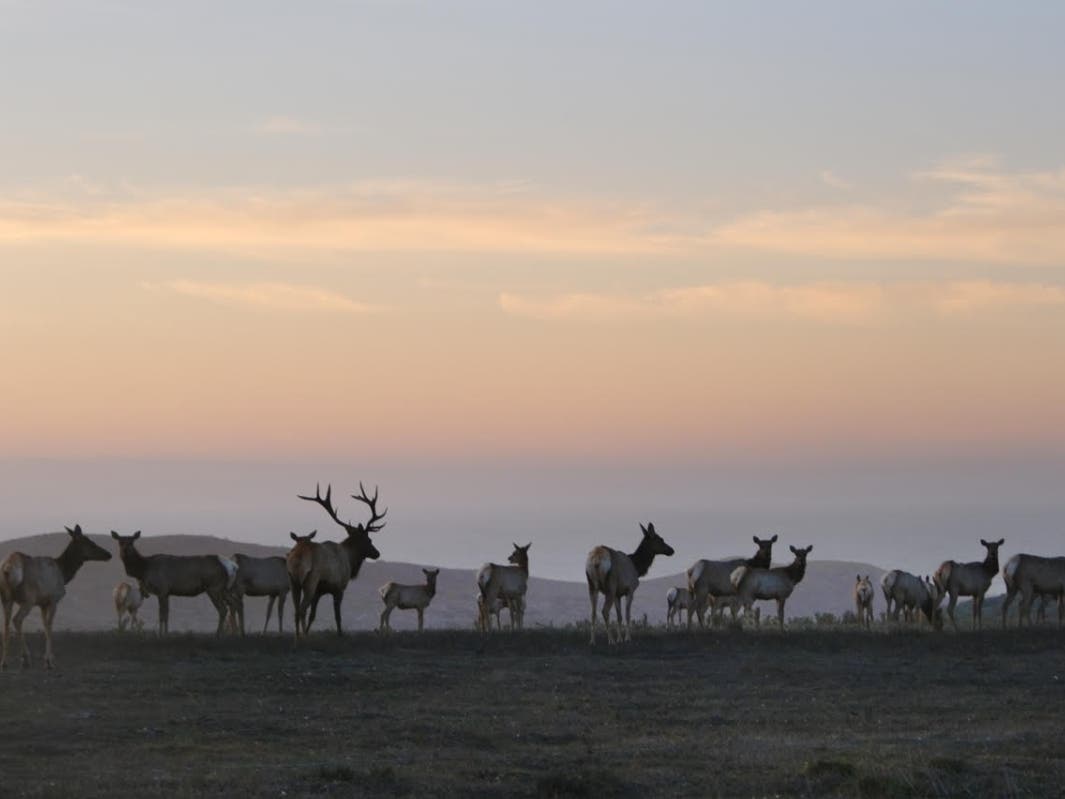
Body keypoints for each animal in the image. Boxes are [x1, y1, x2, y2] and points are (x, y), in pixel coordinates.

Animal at [1, 524, 112, 670]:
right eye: (89, 542)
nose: (108, 554)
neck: (64, 574)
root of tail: (8, 567)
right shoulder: (54, 599)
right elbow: (49, 625)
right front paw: (49, 661)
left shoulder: (42, 603)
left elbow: (44, 625)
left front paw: (47, 658)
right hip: (28, 598)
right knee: (17, 619)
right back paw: (26, 658)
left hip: (6, 598)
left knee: (6, 623)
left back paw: (4, 662)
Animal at [110, 531, 238, 636]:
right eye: (120, 541)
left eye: (132, 542)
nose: (125, 551)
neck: (144, 569)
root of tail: (232, 566)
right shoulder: (167, 592)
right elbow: (166, 614)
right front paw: (165, 633)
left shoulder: (162, 589)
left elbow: (162, 614)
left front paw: (161, 634)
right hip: (224, 588)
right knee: (233, 604)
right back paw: (234, 634)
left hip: (214, 587)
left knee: (223, 609)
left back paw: (218, 635)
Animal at [289, 482, 386, 637]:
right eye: (369, 540)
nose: (377, 553)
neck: (350, 560)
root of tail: (299, 557)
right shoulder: (339, 587)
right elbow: (337, 616)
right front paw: (340, 634)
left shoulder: (319, 592)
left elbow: (313, 616)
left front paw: (308, 632)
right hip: (311, 581)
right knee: (302, 610)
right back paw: (301, 638)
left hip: (294, 583)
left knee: (297, 610)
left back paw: (298, 636)